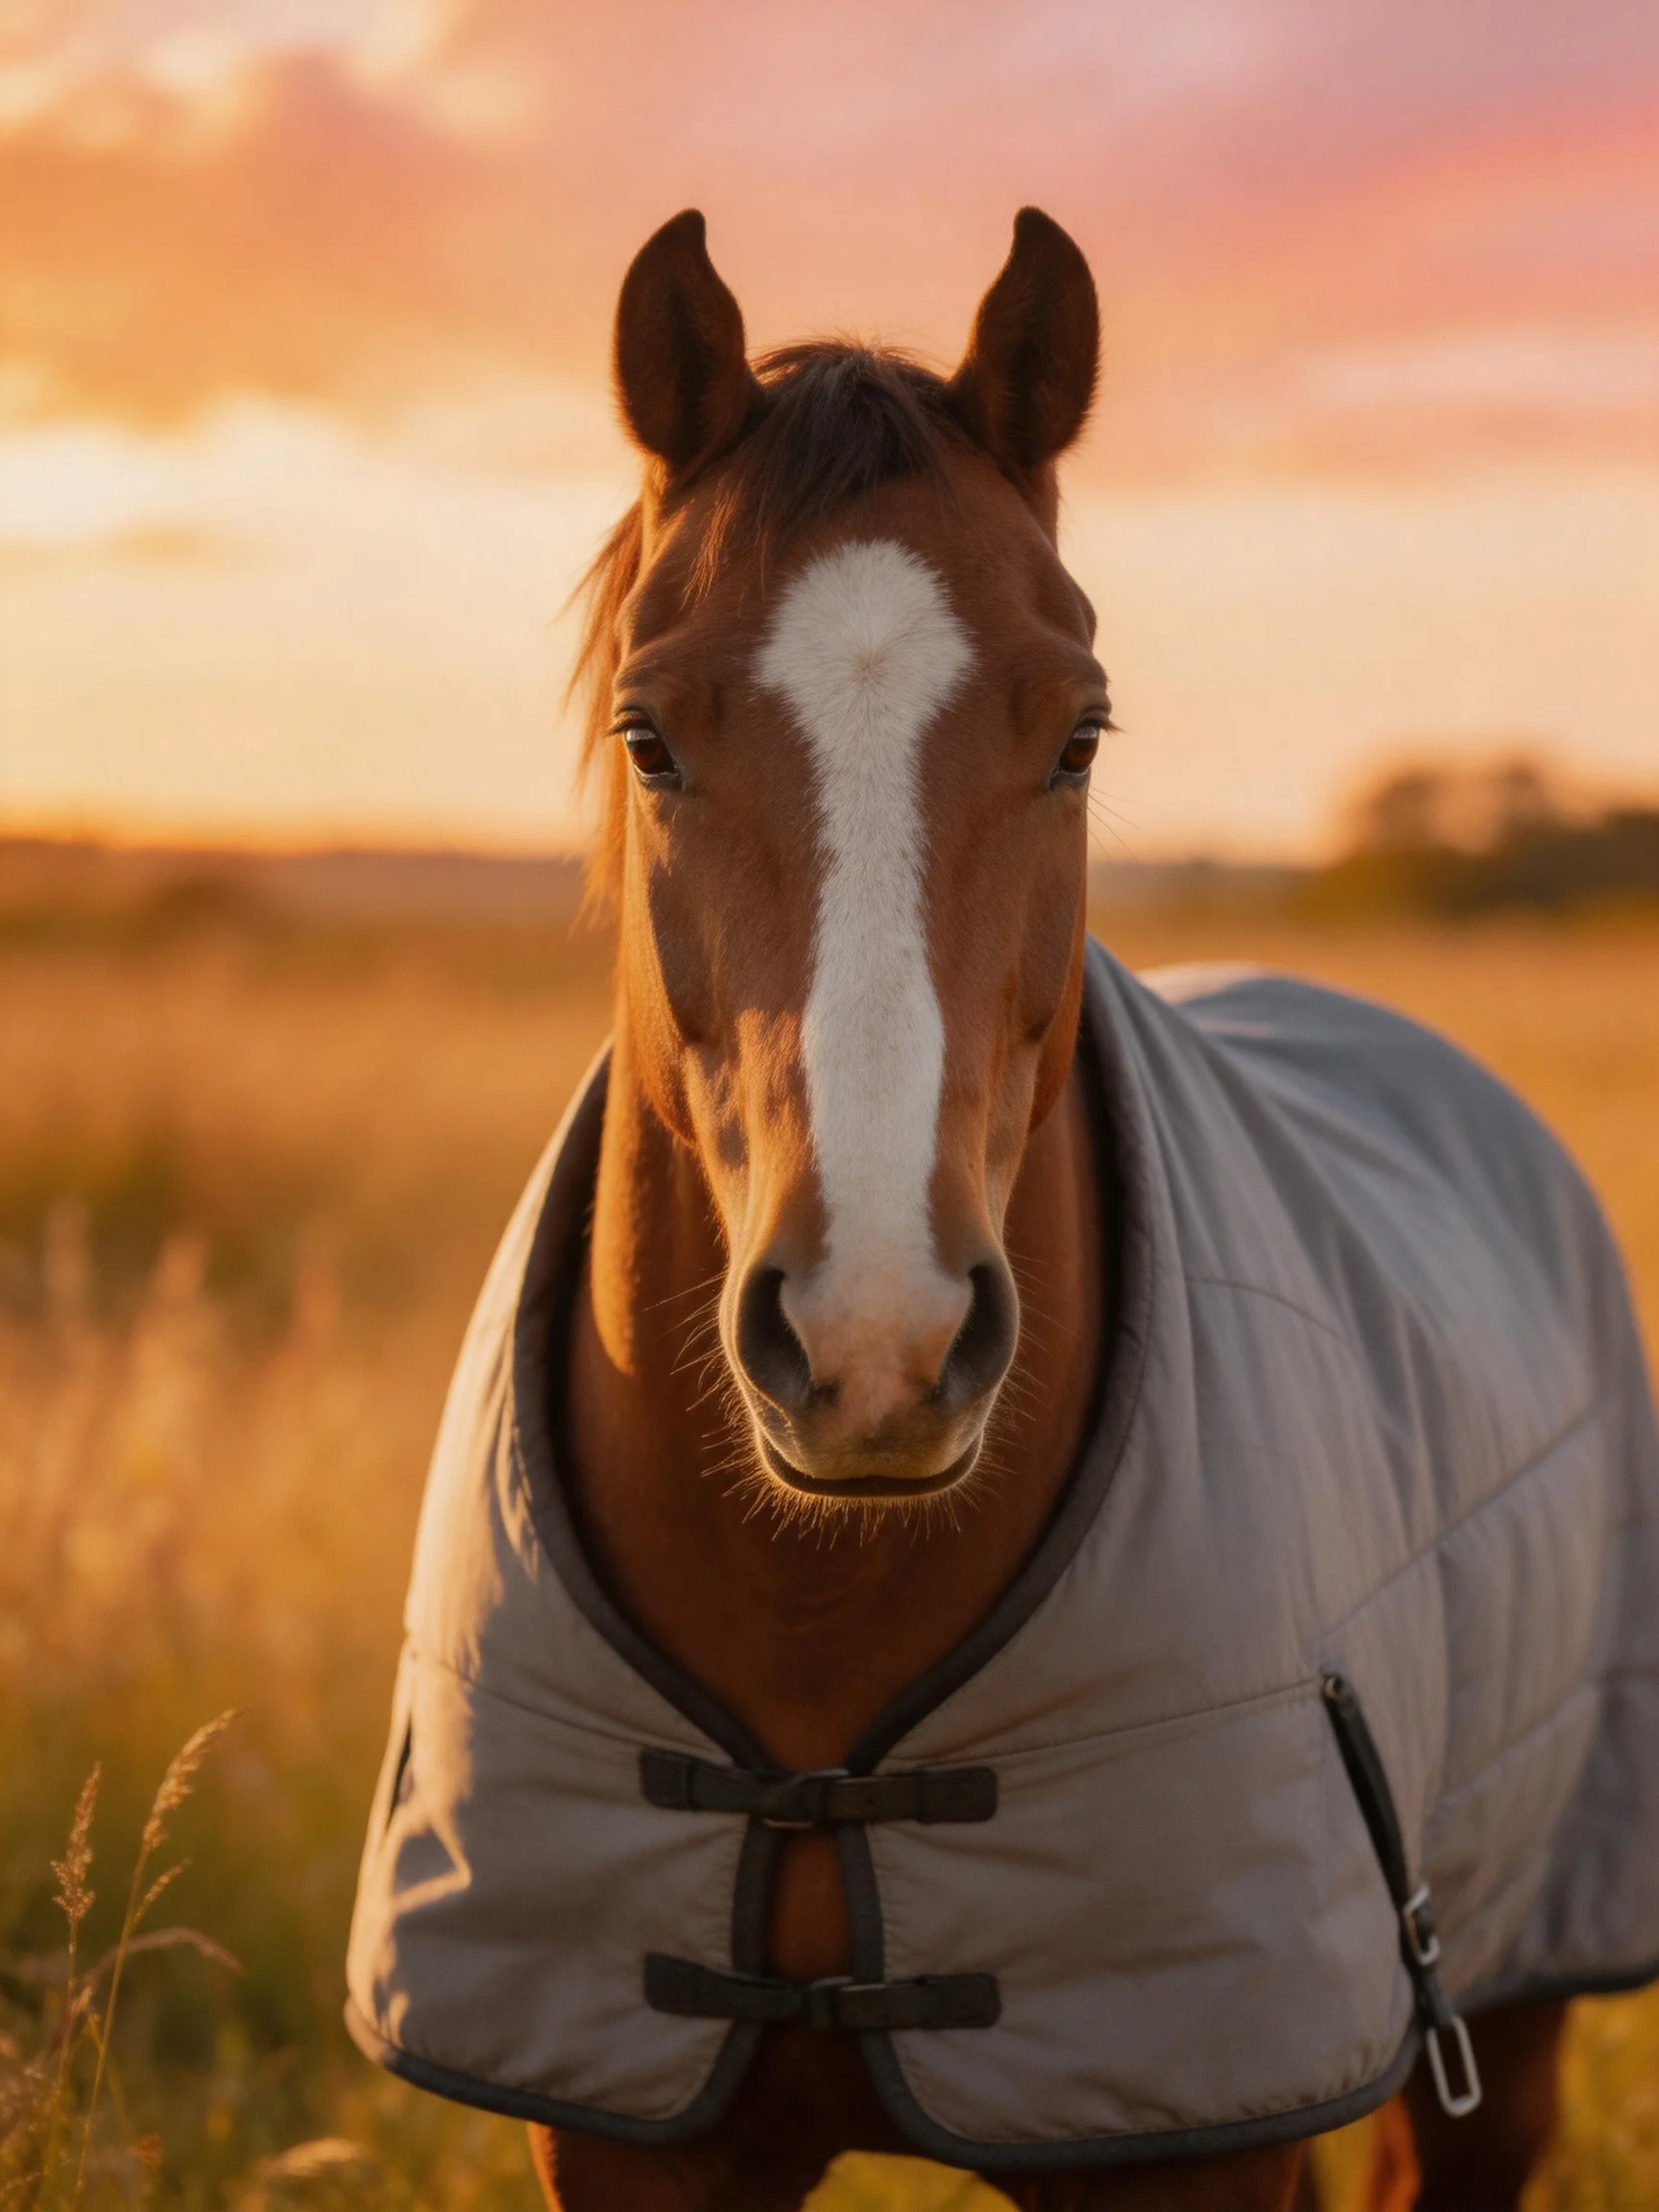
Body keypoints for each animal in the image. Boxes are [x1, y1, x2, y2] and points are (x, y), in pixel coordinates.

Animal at [346, 207, 1658, 2210]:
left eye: (1079, 733)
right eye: (648, 735)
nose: (873, 1338)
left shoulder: (1185, 2131)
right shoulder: (640, 2144)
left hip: (1500, 2017)